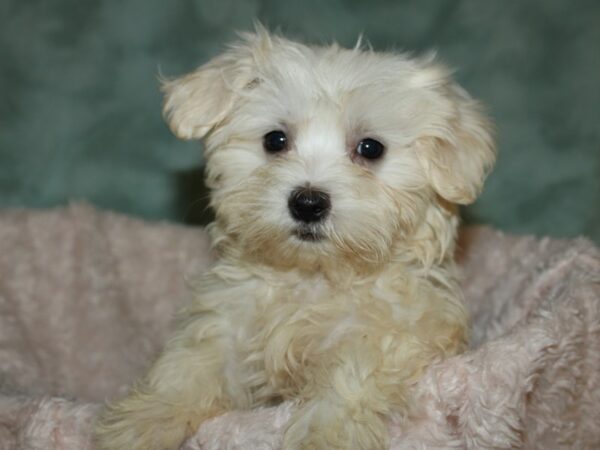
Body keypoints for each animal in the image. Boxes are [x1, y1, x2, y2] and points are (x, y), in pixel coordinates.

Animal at [96, 26, 494, 448]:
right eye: (275, 140)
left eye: (371, 148)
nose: (308, 203)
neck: (313, 277)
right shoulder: (226, 325)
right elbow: (190, 368)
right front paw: (142, 421)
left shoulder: (396, 334)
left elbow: (350, 375)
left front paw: (324, 436)